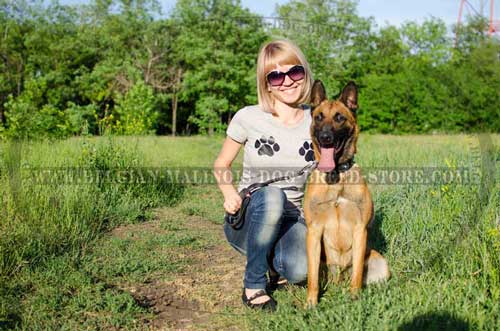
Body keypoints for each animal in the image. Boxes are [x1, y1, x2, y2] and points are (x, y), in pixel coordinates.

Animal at [302, 80, 388, 308]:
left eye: (339, 117)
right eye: (319, 117)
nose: (325, 137)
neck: (335, 177)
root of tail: (339, 278)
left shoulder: (360, 230)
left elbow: (357, 272)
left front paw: (355, 298)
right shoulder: (314, 232)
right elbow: (312, 276)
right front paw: (311, 303)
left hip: (380, 262)